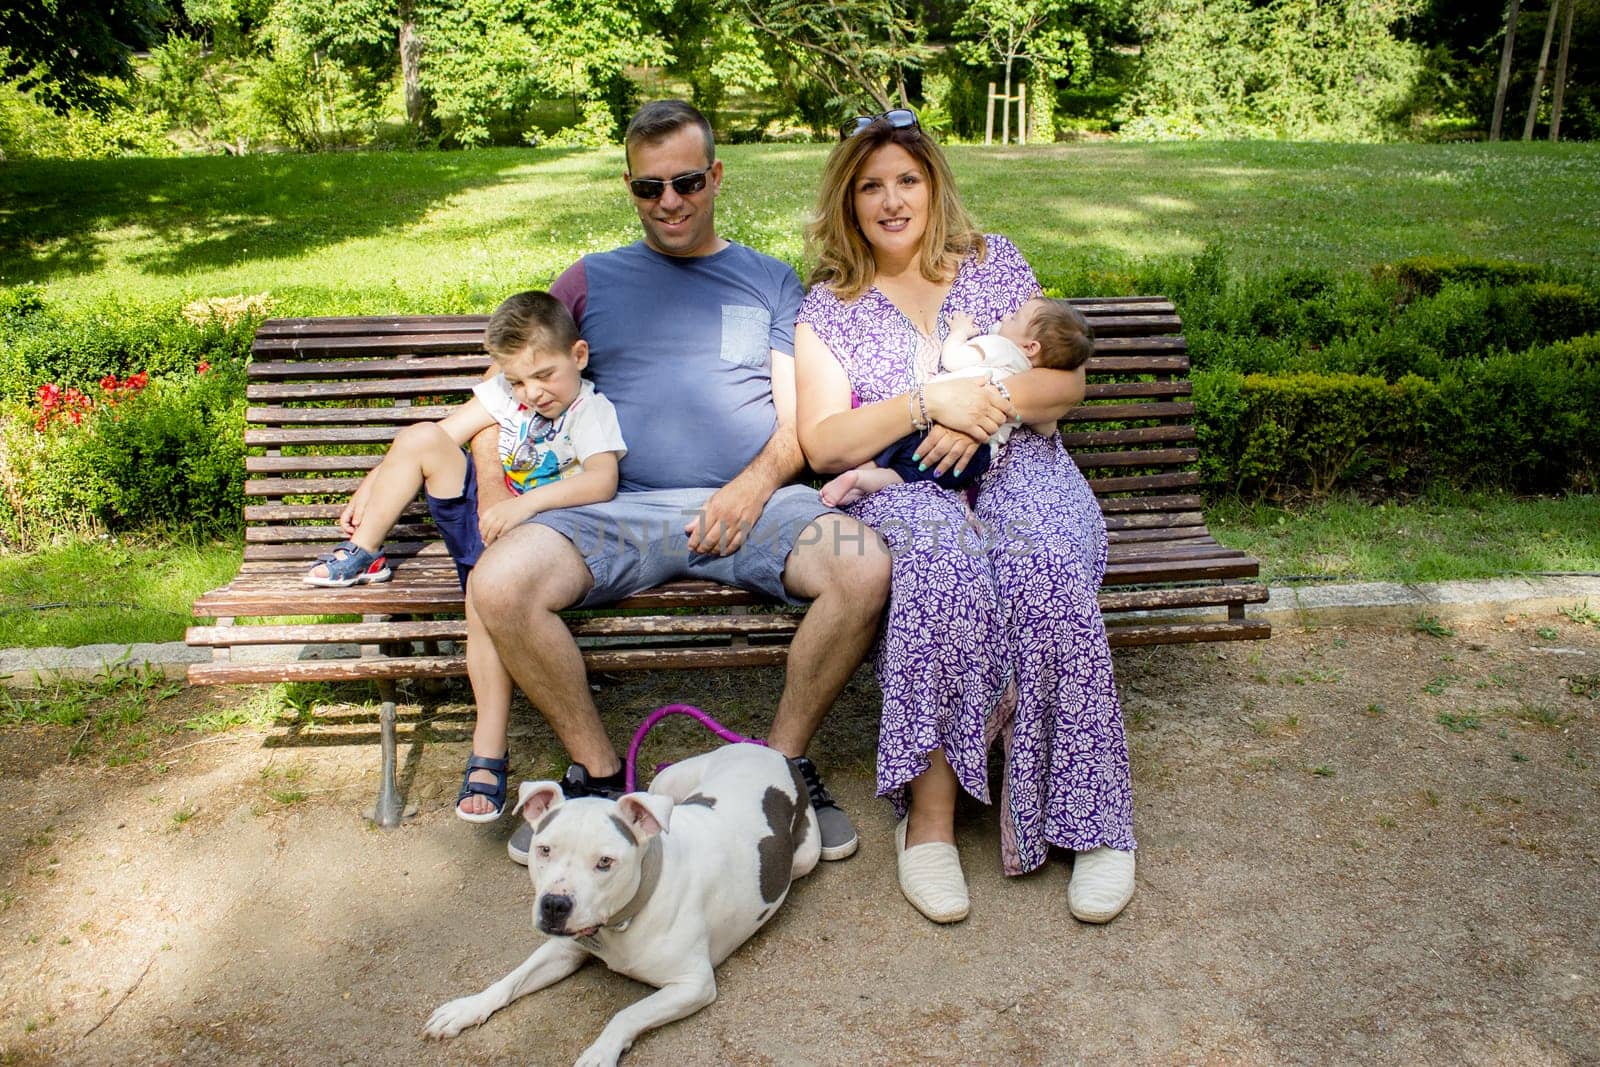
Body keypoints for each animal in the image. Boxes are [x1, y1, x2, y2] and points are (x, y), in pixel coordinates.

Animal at [422, 742, 819, 1067]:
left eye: (605, 862)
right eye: (544, 849)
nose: (554, 905)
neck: (623, 919)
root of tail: (766, 749)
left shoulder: (693, 984)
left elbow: (627, 1014)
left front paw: (600, 1052)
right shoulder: (564, 949)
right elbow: (510, 979)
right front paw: (467, 1008)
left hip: (805, 858)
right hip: (664, 785)